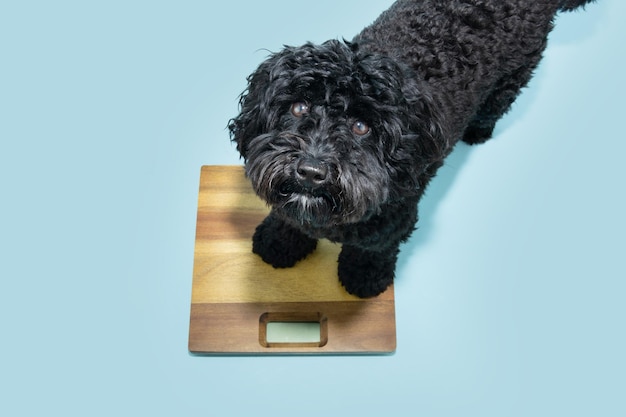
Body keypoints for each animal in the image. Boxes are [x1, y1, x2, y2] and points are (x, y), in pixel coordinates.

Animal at [227, 1, 592, 298]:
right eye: (299, 107)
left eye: (362, 126)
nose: (311, 172)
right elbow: (288, 219)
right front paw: (277, 243)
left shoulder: (395, 219)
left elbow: (374, 250)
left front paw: (364, 279)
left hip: (515, 73)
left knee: (499, 102)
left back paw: (478, 131)